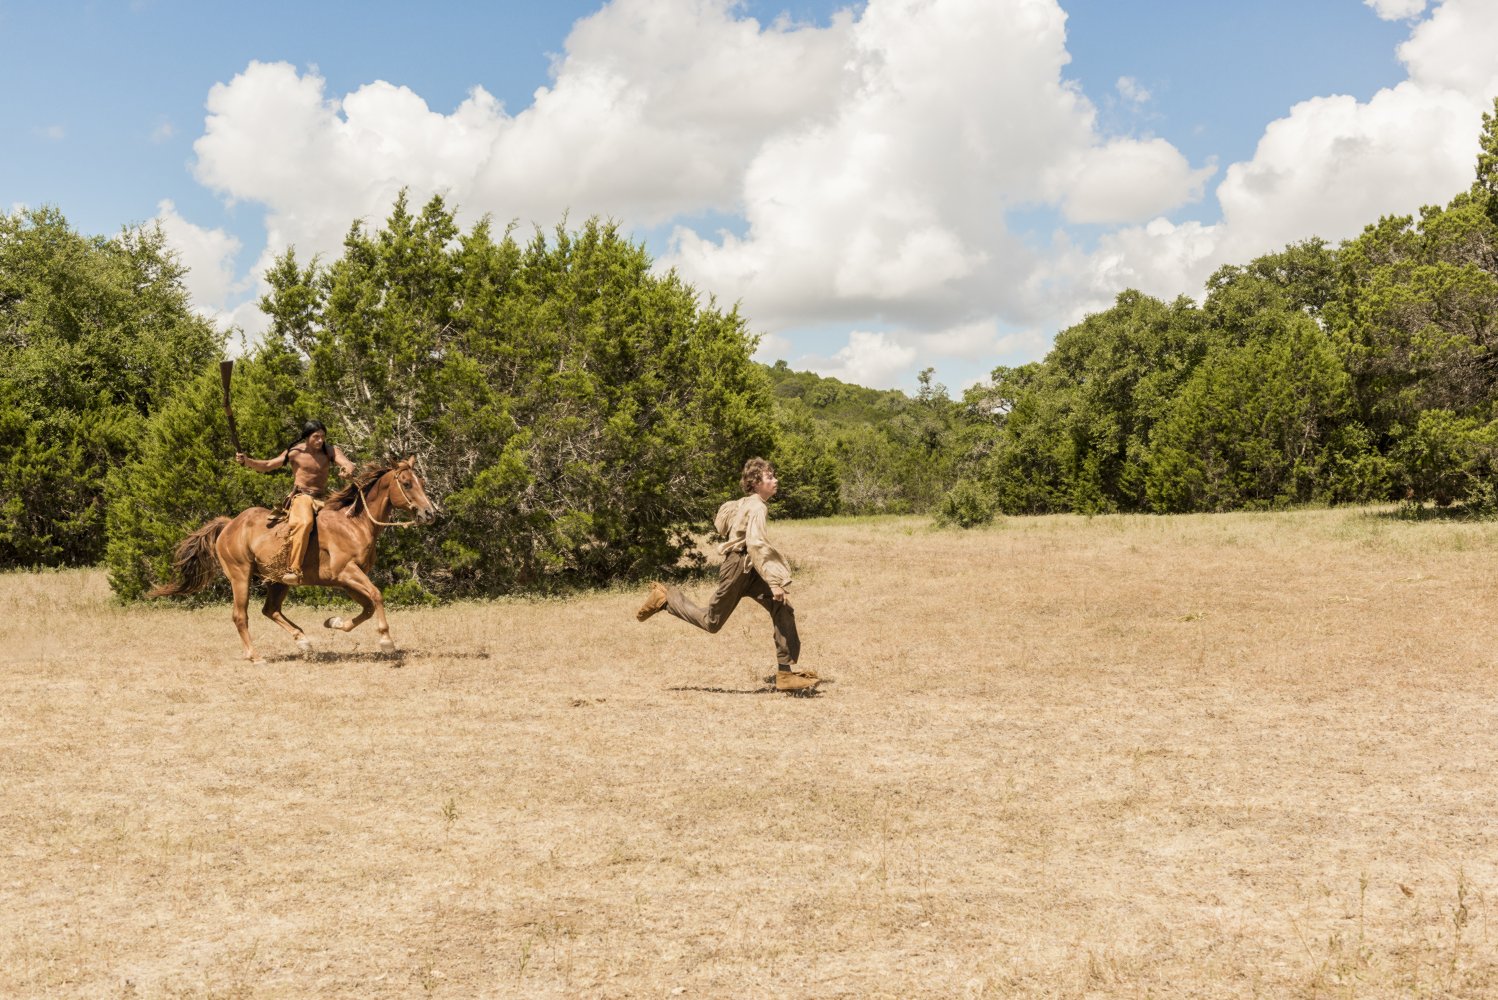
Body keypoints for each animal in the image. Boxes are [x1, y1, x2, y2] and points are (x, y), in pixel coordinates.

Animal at [149, 461, 437, 664]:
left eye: (421, 481)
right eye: (407, 483)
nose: (429, 513)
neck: (354, 523)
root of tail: (229, 525)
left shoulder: (346, 580)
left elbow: (367, 607)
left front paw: (334, 622)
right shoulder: (347, 573)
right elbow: (376, 596)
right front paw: (386, 641)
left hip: (278, 581)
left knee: (270, 610)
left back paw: (303, 641)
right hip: (240, 577)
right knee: (240, 616)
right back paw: (255, 656)